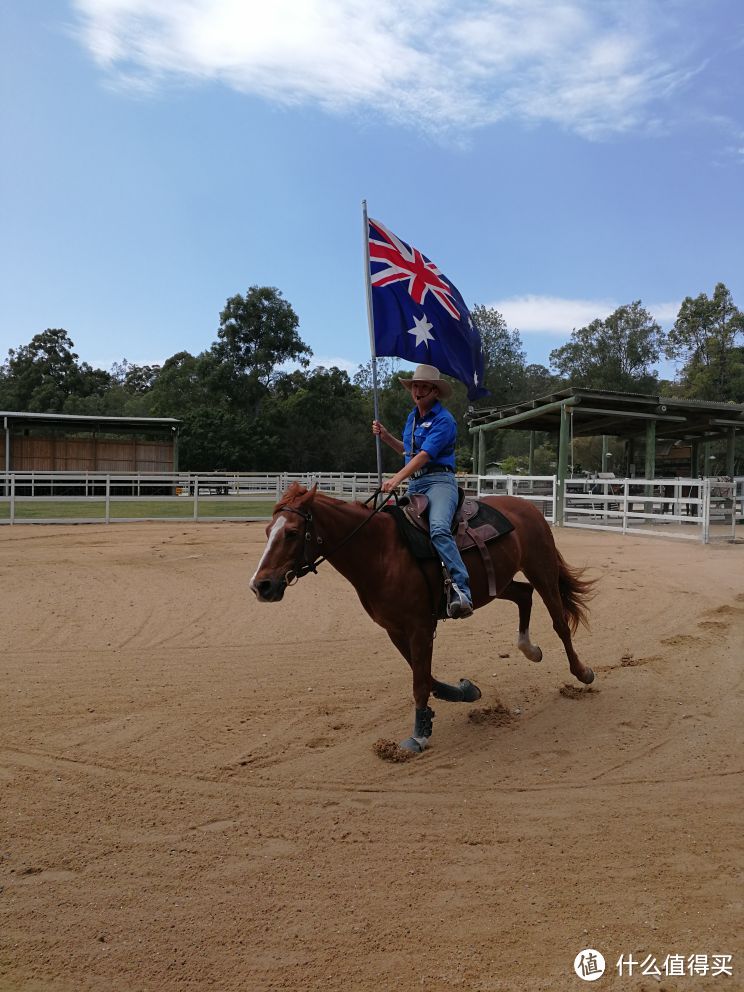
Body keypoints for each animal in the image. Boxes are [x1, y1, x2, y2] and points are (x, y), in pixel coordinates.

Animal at [253, 482, 596, 752]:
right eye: (268, 531)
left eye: (292, 533)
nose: (261, 585)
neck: (380, 551)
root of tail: (528, 507)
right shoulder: (395, 629)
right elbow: (427, 677)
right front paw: (463, 692)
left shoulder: (419, 626)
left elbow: (420, 681)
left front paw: (418, 735)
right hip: (499, 582)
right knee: (524, 594)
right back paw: (529, 649)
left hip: (542, 567)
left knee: (559, 622)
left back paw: (582, 672)